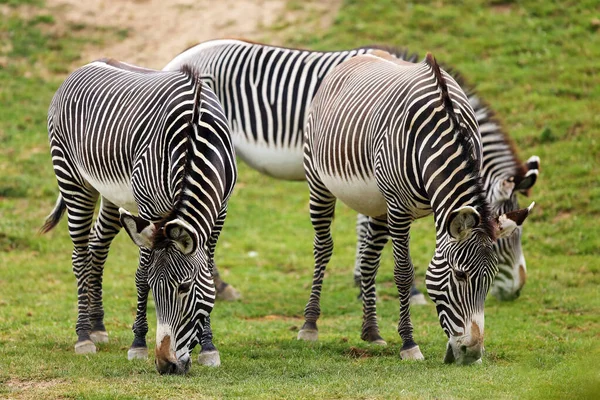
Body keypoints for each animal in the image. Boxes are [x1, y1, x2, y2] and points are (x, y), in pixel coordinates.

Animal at [39, 59, 236, 376]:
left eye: (184, 287)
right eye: (156, 289)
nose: (166, 366)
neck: (194, 137)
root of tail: (81, 67)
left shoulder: (220, 211)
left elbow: (207, 269)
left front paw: (209, 347)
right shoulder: (149, 209)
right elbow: (141, 275)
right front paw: (138, 344)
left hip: (110, 194)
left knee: (97, 248)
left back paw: (97, 327)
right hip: (72, 179)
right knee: (79, 255)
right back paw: (83, 336)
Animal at [163, 39, 540, 304]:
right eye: (507, 237)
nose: (517, 291)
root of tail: (177, 60)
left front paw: (362, 279)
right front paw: (399, 289)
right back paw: (220, 286)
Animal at [298, 50, 532, 366]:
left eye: (490, 277)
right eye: (460, 275)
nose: (472, 353)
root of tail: (362, 55)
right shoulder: (399, 208)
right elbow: (403, 272)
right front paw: (409, 343)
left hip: (376, 203)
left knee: (369, 259)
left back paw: (372, 331)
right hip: (319, 182)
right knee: (323, 247)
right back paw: (310, 325)